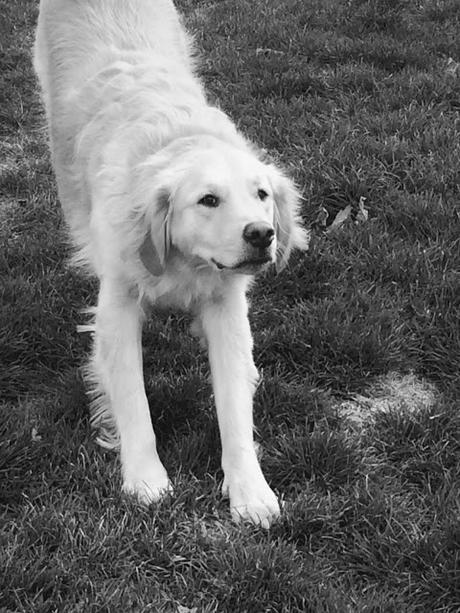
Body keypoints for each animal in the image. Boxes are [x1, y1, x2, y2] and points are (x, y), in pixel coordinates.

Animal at [34, 0, 308, 524]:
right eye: (208, 200)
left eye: (261, 194)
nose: (262, 235)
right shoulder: (117, 306)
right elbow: (133, 400)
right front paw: (145, 479)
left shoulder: (226, 307)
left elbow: (233, 406)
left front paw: (250, 491)